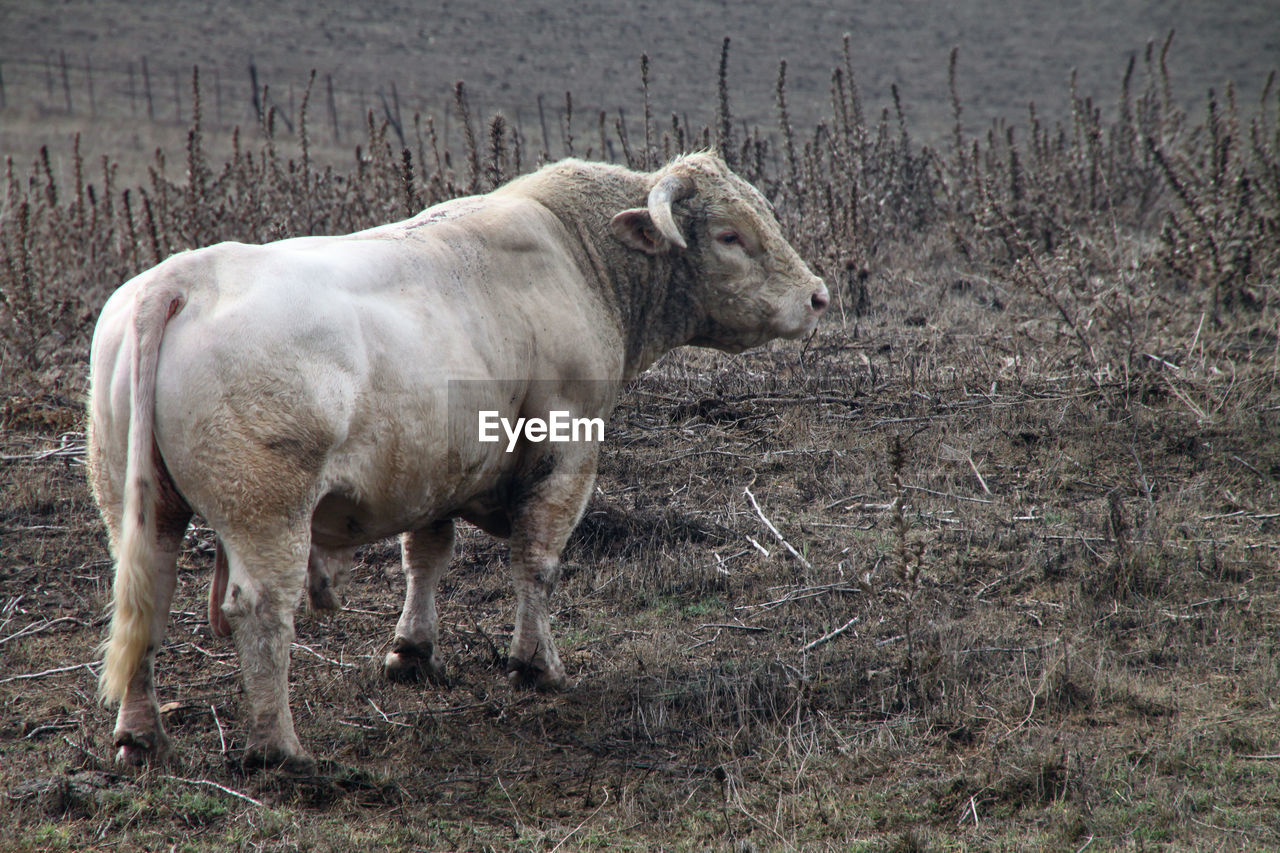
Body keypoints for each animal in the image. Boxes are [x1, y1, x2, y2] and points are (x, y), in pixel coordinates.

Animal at [90, 149, 829, 768]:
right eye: (730, 235)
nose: (818, 295)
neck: (578, 257)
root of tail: (181, 279)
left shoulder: (431, 471)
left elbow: (426, 557)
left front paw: (413, 650)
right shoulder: (566, 451)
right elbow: (538, 561)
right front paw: (536, 664)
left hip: (140, 506)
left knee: (147, 601)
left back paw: (141, 735)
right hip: (266, 511)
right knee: (261, 610)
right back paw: (280, 748)